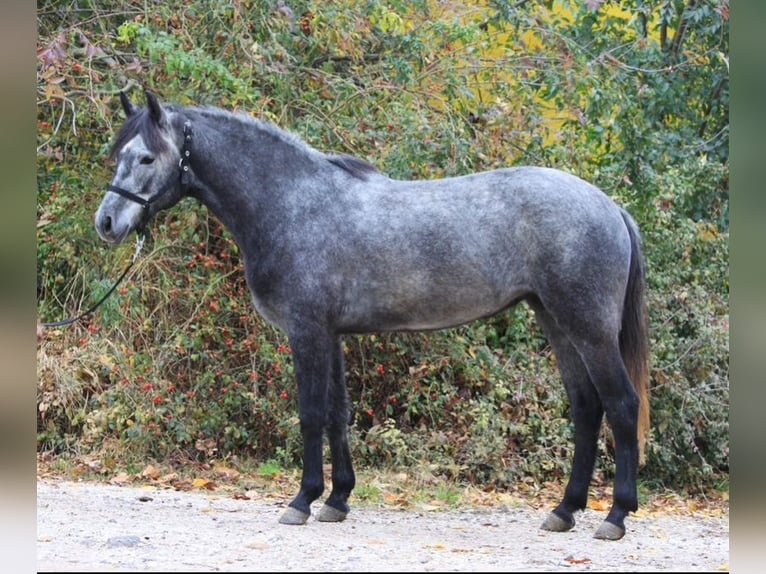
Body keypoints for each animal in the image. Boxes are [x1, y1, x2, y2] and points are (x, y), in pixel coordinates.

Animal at [95, 90, 650, 540]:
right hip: (557, 324)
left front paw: (302, 501)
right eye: (118, 154)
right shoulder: (333, 334)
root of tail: (610, 207)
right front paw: (337, 500)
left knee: (621, 405)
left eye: (146, 156)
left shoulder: (307, 332)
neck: (293, 204)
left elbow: (311, 414)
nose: (107, 222)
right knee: (586, 409)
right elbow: (337, 414)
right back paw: (565, 510)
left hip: (589, 330)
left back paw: (615, 516)